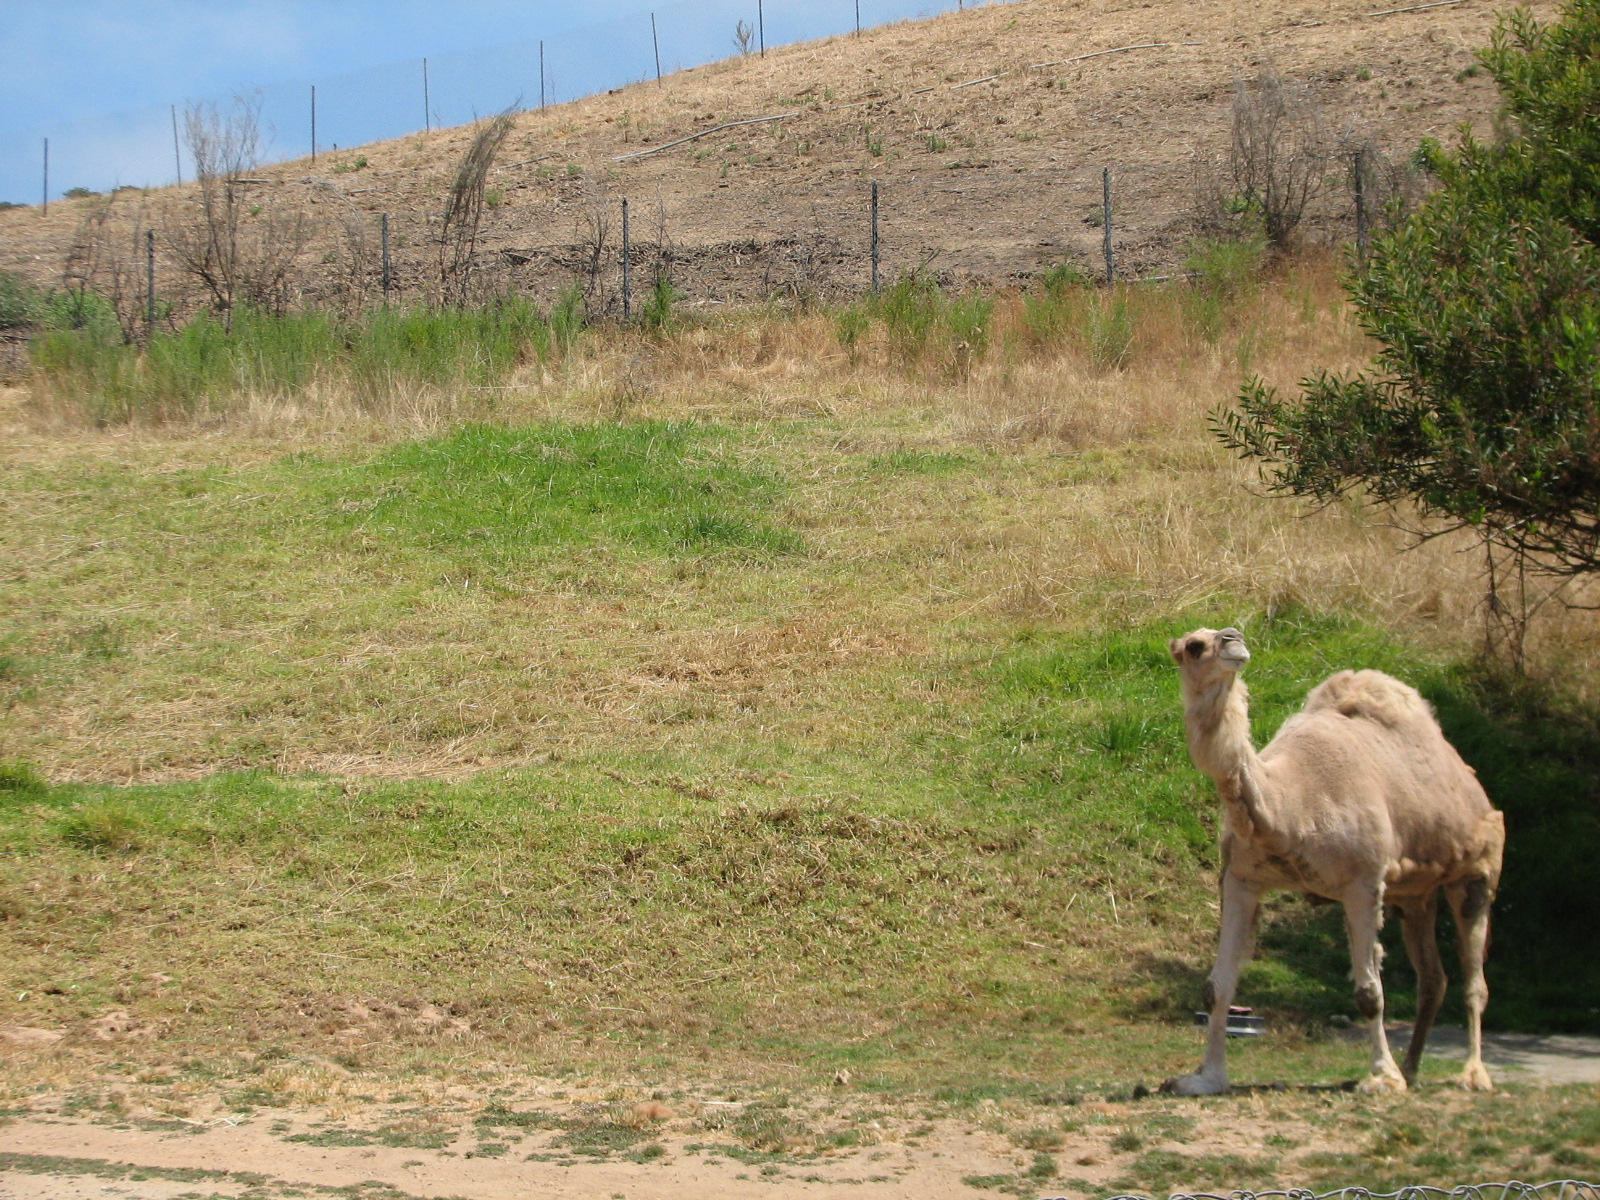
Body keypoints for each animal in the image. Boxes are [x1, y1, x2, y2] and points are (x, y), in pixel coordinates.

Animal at [1163, 627, 1504, 1095]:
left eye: (1229, 634)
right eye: (1195, 646)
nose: (1234, 640)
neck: (1291, 805)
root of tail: (1476, 787)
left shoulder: (1363, 881)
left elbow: (1369, 993)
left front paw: (1381, 1077)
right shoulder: (1241, 878)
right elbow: (1217, 986)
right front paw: (1204, 1077)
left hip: (1477, 871)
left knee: (1475, 980)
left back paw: (1472, 1074)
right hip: (1413, 894)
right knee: (1433, 978)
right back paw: (1412, 1068)